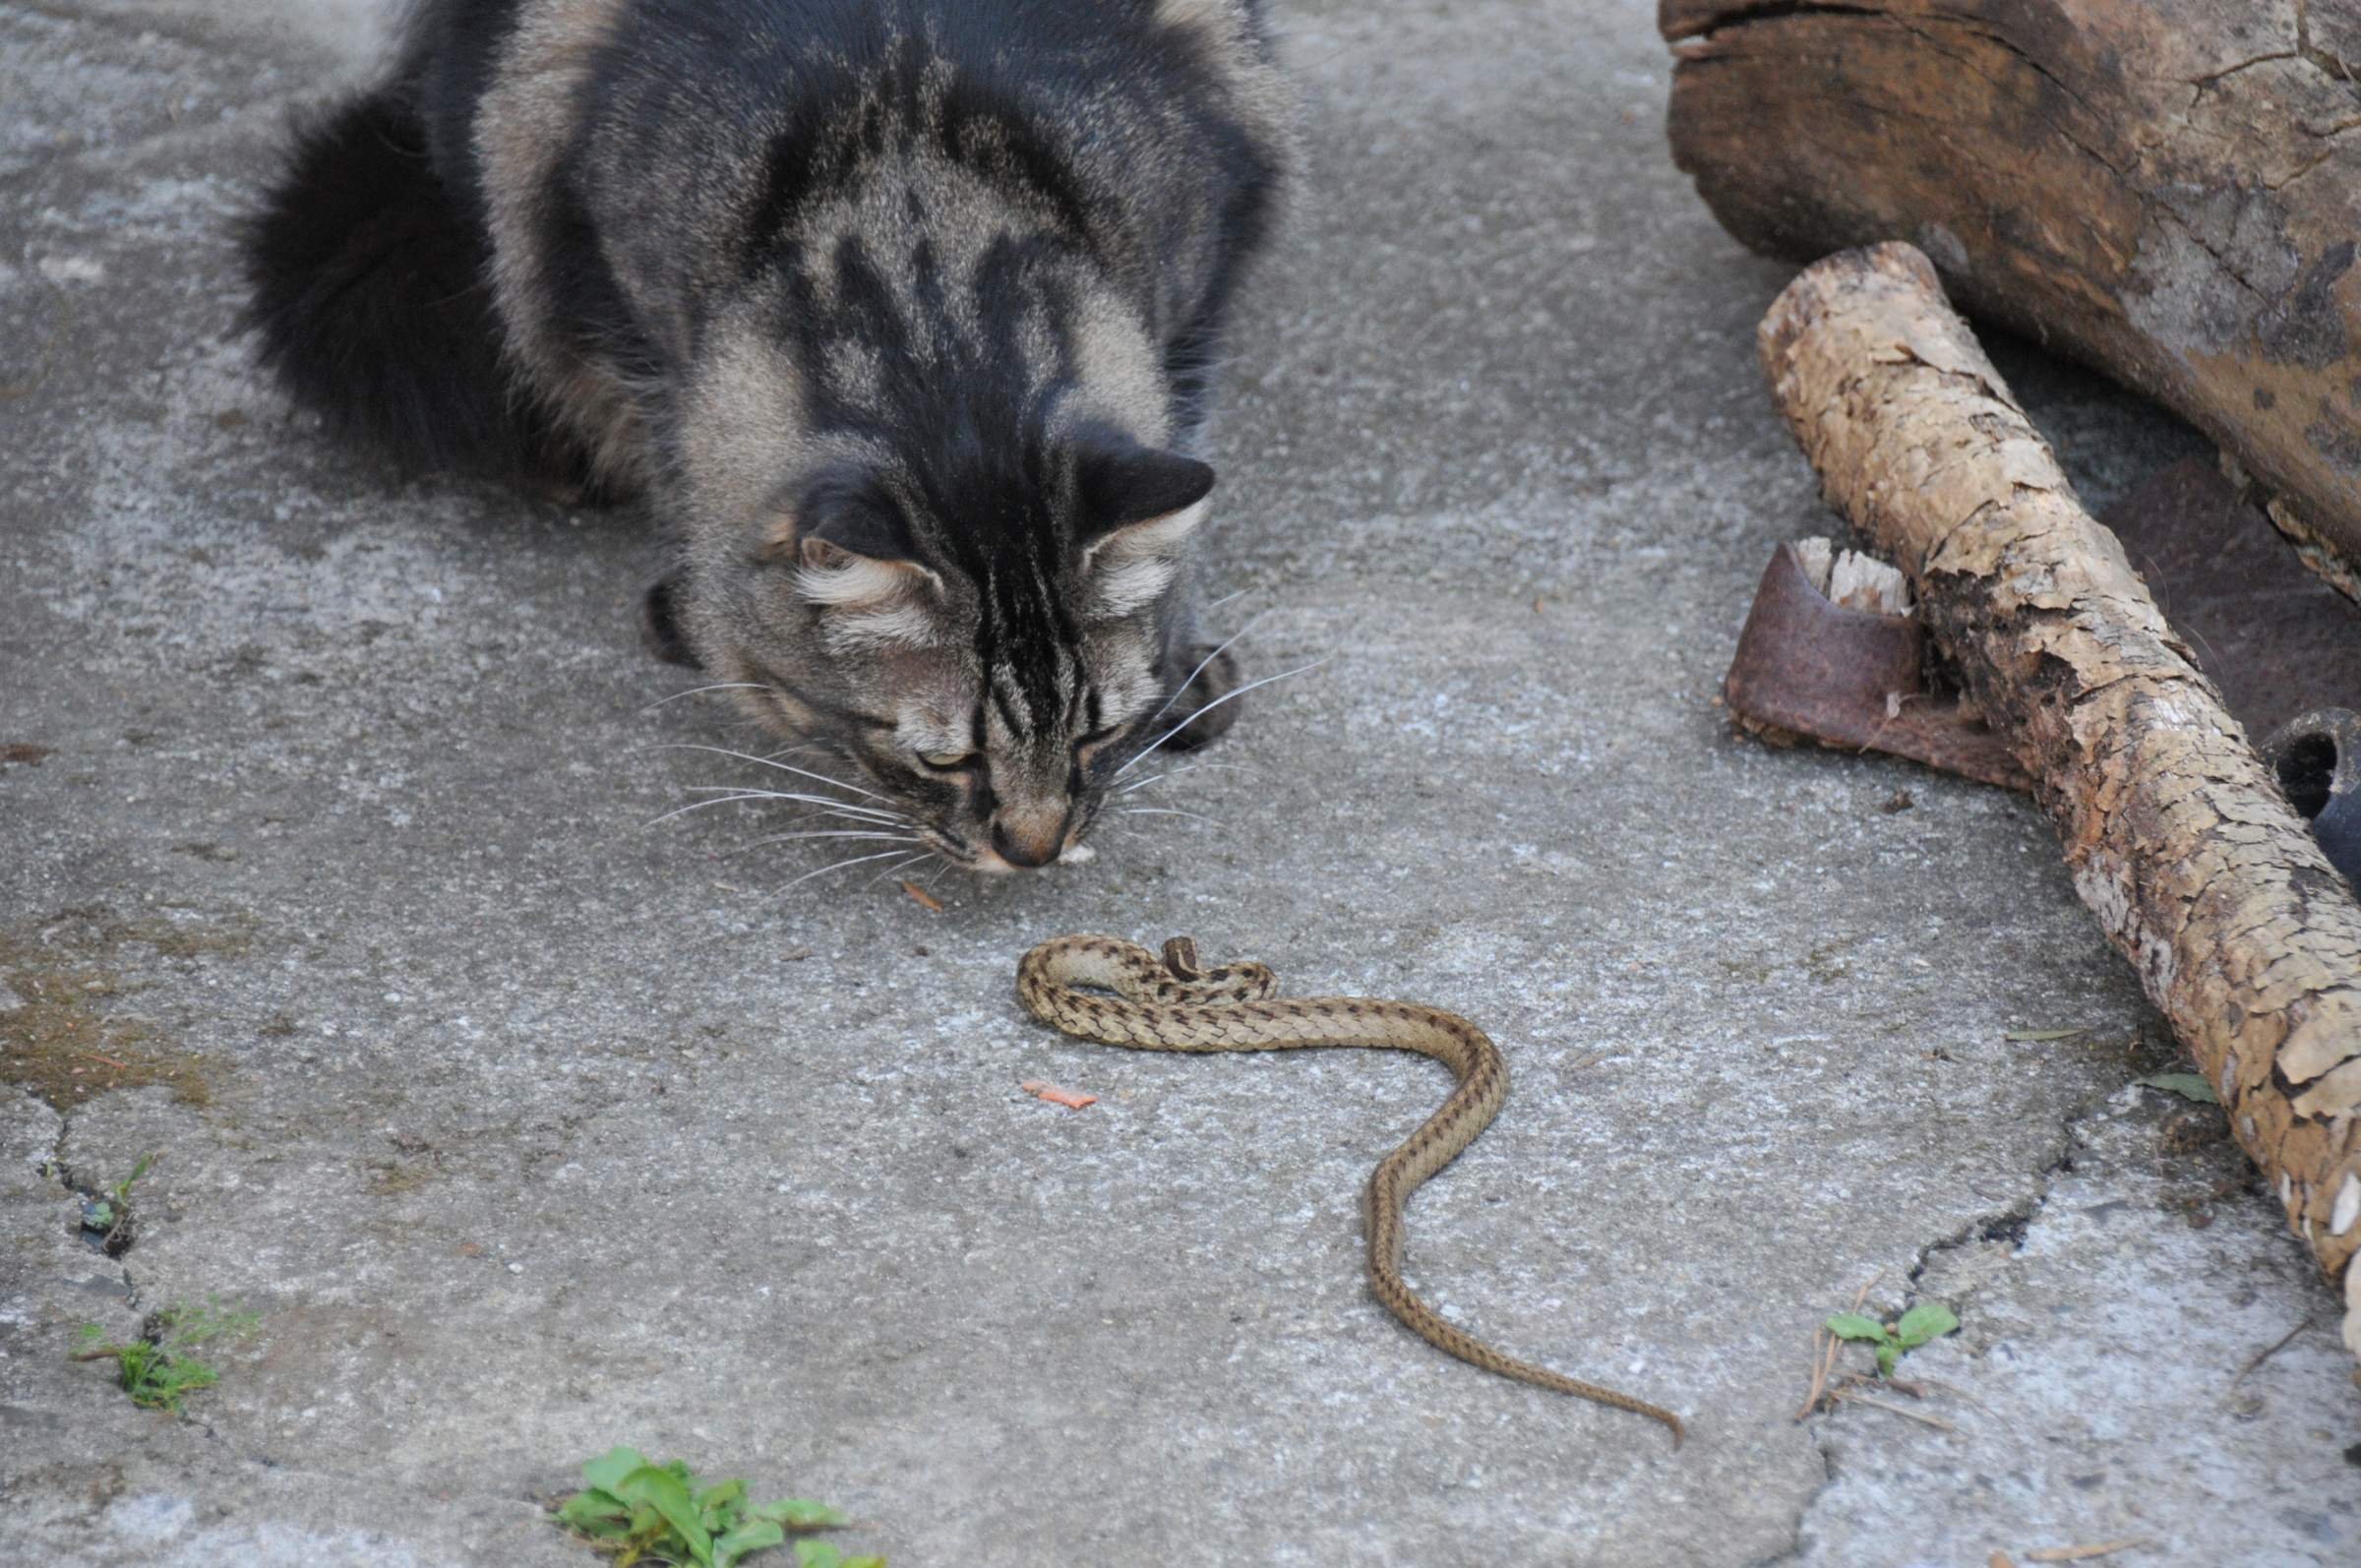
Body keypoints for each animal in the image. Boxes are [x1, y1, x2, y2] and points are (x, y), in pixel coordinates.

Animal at [239, 0, 1294, 869]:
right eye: (944, 760)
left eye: (1095, 735)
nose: (1032, 852)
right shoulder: (597, 250)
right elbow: (669, 442)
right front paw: (699, 616)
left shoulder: (1206, 240)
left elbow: (1184, 413)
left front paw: (1179, 661)